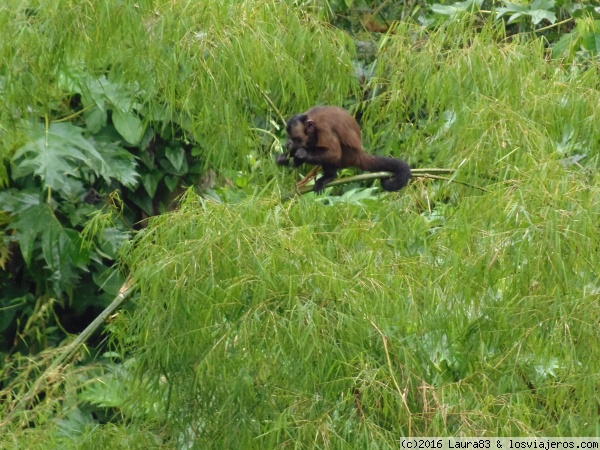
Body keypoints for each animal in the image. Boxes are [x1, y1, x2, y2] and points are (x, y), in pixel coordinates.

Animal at [278, 107, 412, 195]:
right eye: (293, 138)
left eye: (298, 139)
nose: (294, 144)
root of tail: (359, 155)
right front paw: (285, 156)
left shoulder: (324, 129)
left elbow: (334, 153)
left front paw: (302, 153)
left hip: (348, 156)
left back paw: (329, 176)